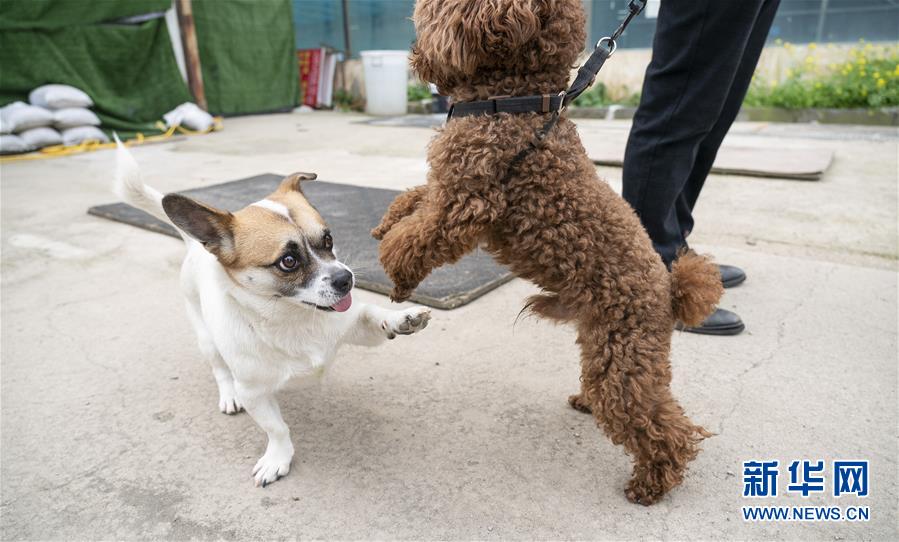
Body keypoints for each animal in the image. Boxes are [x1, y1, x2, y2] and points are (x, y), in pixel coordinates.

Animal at [113, 142, 432, 490]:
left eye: (328, 240)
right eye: (288, 261)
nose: (345, 278)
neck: (294, 318)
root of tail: (197, 245)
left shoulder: (353, 324)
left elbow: (374, 315)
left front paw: (403, 318)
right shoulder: (254, 394)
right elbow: (277, 428)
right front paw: (278, 458)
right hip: (207, 340)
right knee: (220, 370)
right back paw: (227, 396)